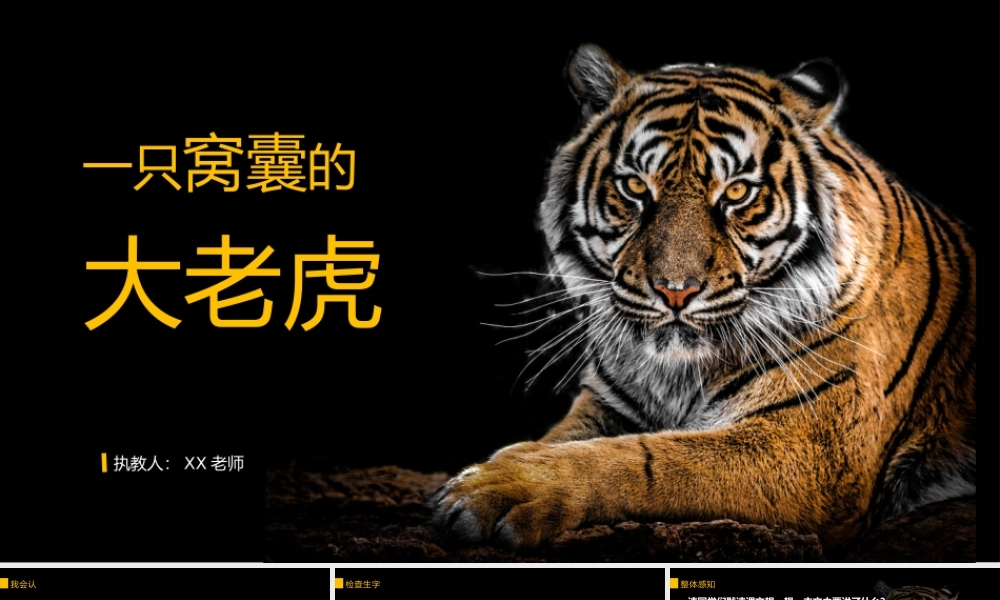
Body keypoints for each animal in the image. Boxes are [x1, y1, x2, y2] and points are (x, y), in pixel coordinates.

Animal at [428, 44, 976, 553]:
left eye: (736, 193)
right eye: (634, 187)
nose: (676, 291)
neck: (677, 374)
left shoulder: (813, 449)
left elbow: (646, 459)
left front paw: (498, 488)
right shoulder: (605, 403)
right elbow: (562, 441)